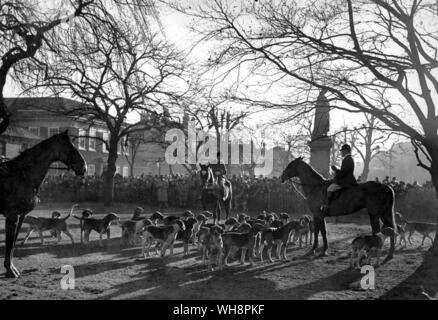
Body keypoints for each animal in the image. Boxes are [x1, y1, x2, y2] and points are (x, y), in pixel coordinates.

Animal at [0, 130, 85, 278]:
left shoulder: (20, 216)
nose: (84, 167)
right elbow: (10, 243)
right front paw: (10, 270)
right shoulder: (12, 216)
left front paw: (11, 268)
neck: (22, 175)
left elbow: (14, 242)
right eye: (70, 147)